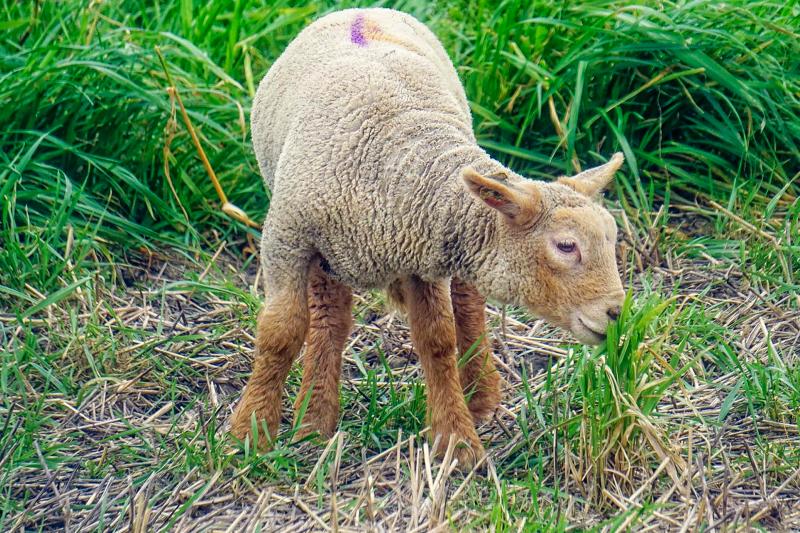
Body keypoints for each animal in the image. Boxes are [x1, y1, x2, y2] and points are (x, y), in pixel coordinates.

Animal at [231, 7, 626, 468]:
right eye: (566, 246)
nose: (616, 314)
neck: (403, 161)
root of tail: (362, 11)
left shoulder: (422, 251)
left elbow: (437, 340)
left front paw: (456, 438)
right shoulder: (287, 238)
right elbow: (281, 333)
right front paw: (250, 433)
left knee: (467, 306)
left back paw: (479, 395)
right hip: (325, 246)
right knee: (331, 316)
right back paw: (314, 420)